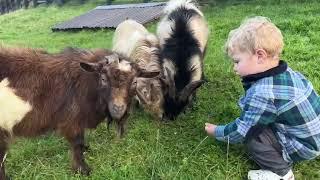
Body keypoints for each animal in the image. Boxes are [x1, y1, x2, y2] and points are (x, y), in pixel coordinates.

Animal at [0, 45, 159, 178]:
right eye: (103, 78)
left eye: (134, 82)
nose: (118, 108)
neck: (81, 83)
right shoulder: (72, 120)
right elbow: (77, 144)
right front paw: (83, 170)